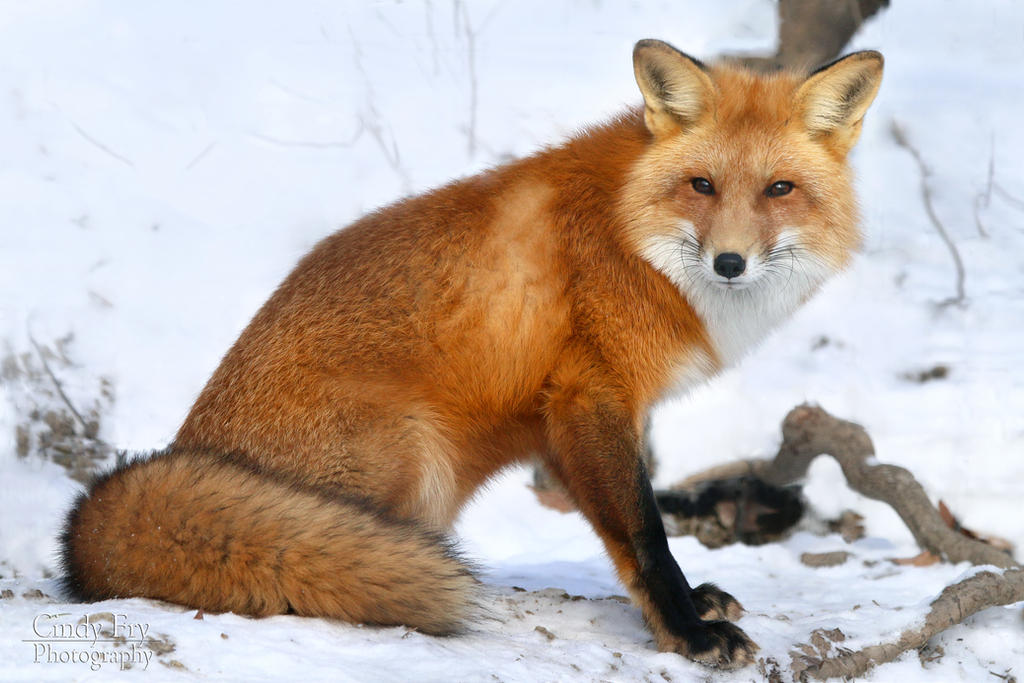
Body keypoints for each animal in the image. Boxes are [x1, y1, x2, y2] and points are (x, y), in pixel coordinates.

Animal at [60, 39, 882, 669]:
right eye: (701, 186)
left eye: (780, 189)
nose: (730, 263)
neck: (631, 236)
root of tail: (188, 449)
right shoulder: (588, 399)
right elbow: (645, 532)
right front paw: (687, 631)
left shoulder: (565, 422)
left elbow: (623, 534)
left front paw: (690, 606)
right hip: (411, 450)